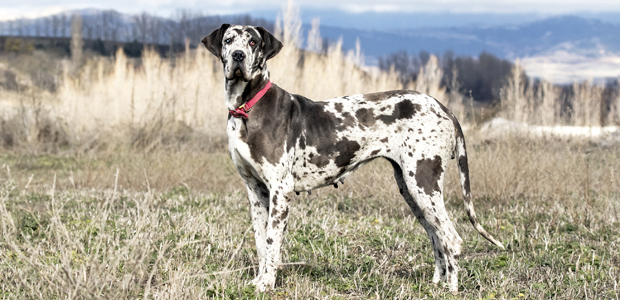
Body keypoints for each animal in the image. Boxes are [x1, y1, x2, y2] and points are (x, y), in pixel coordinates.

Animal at [203, 24, 504, 294]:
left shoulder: (280, 190)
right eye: (229, 40)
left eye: (253, 42)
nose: (238, 56)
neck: (247, 108)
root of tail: (443, 107)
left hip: (424, 184)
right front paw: (259, 280)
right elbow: (260, 243)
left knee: (452, 239)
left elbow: (272, 244)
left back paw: (451, 289)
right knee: (436, 238)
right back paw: (436, 284)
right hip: (412, 191)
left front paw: (266, 285)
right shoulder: (255, 191)